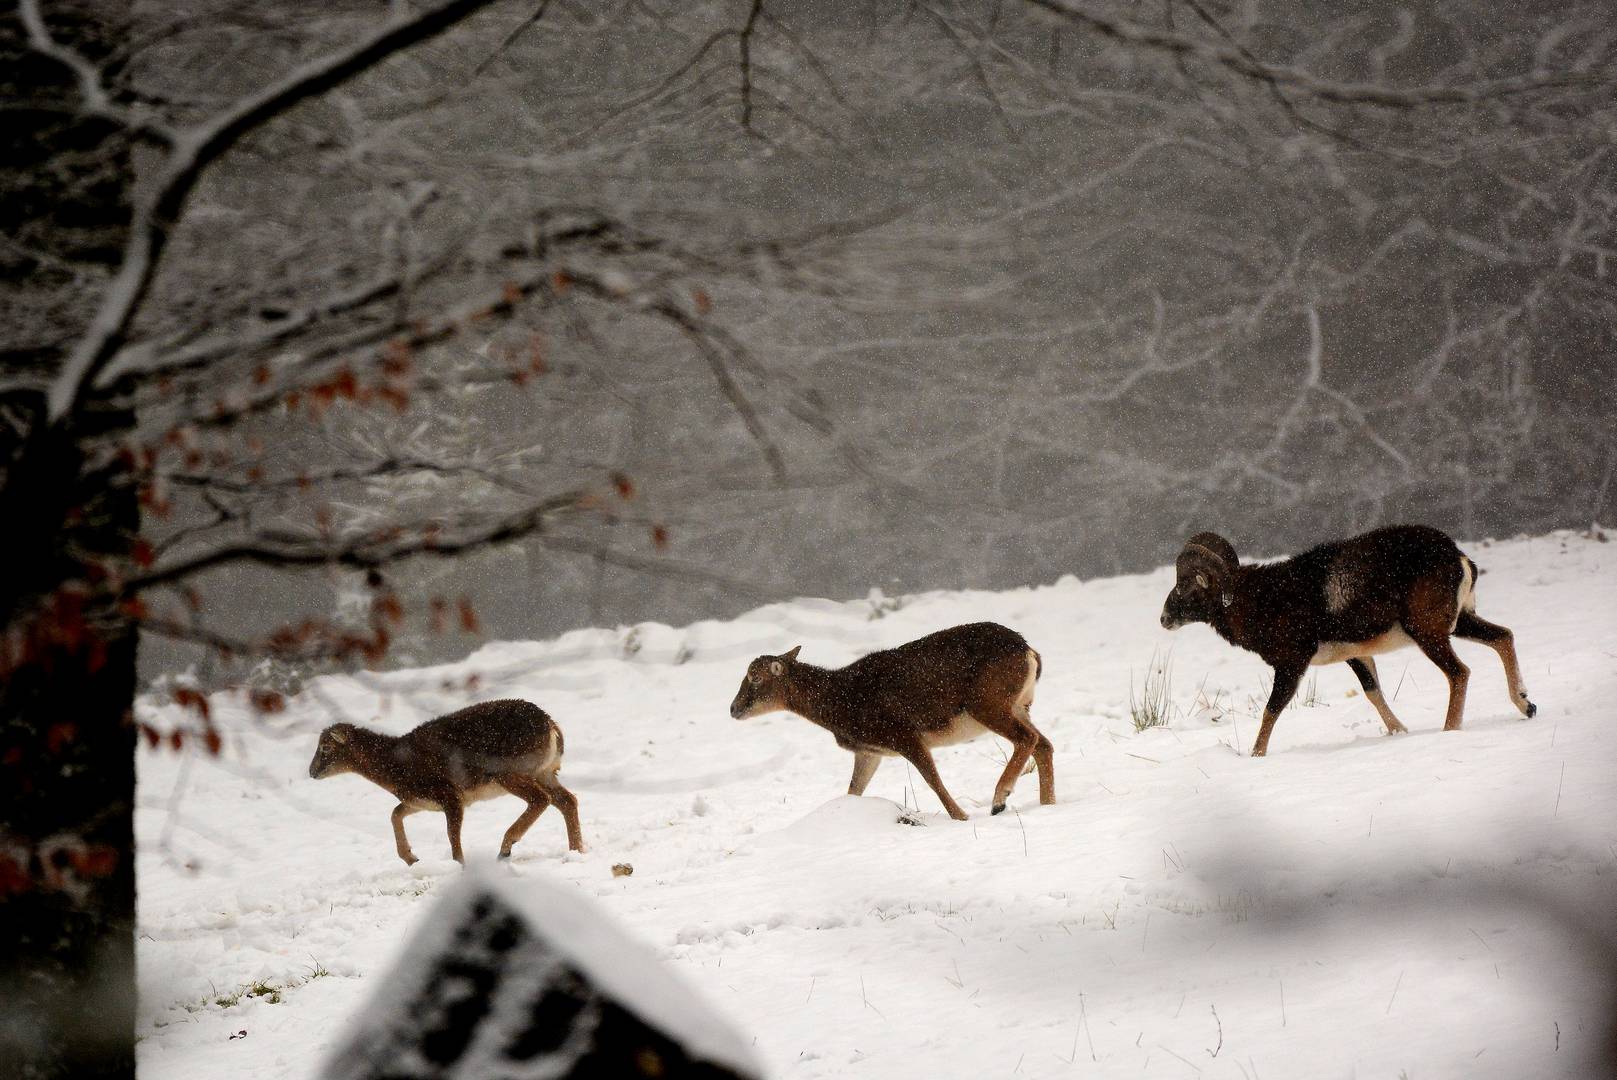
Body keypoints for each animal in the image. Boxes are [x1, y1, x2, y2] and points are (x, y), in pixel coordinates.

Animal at [1157, 527, 1532, 756]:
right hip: (1459, 623)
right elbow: (1373, 692)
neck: (1261, 601)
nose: (1163, 618)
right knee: (1503, 637)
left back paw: (1449, 730)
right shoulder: (1357, 656)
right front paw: (1400, 732)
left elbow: (1270, 712)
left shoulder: (1292, 664)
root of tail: (1458, 558)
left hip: (1428, 634)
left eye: (1185, 586)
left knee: (1459, 673)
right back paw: (1527, 706)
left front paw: (1255, 756)